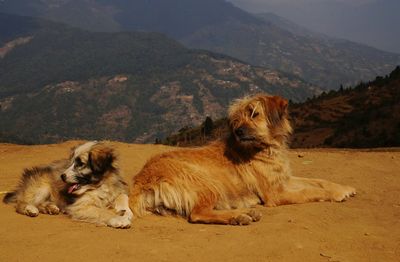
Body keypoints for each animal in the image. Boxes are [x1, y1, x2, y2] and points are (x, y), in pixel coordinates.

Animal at [129, 94, 356, 225]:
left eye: (254, 114)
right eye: (237, 119)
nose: (238, 131)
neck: (266, 148)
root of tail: (141, 179)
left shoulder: (283, 180)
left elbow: (318, 181)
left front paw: (343, 187)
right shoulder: (275, 193)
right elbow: (310, 191)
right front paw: (336, 194)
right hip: (206, 182)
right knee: (197, 213)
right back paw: (239, 216)